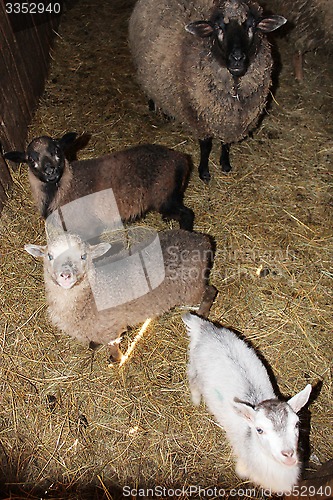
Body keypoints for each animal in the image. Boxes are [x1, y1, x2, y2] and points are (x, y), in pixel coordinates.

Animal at [127, 0, 286, 182]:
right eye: (218, 28)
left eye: (251, 26)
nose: (237, 59)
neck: (234, 86)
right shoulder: (198, 114)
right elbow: (206, 145)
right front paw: (204, 172)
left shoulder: (229, 118)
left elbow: (226, 143)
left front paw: (225, 164)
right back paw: (153, 107)